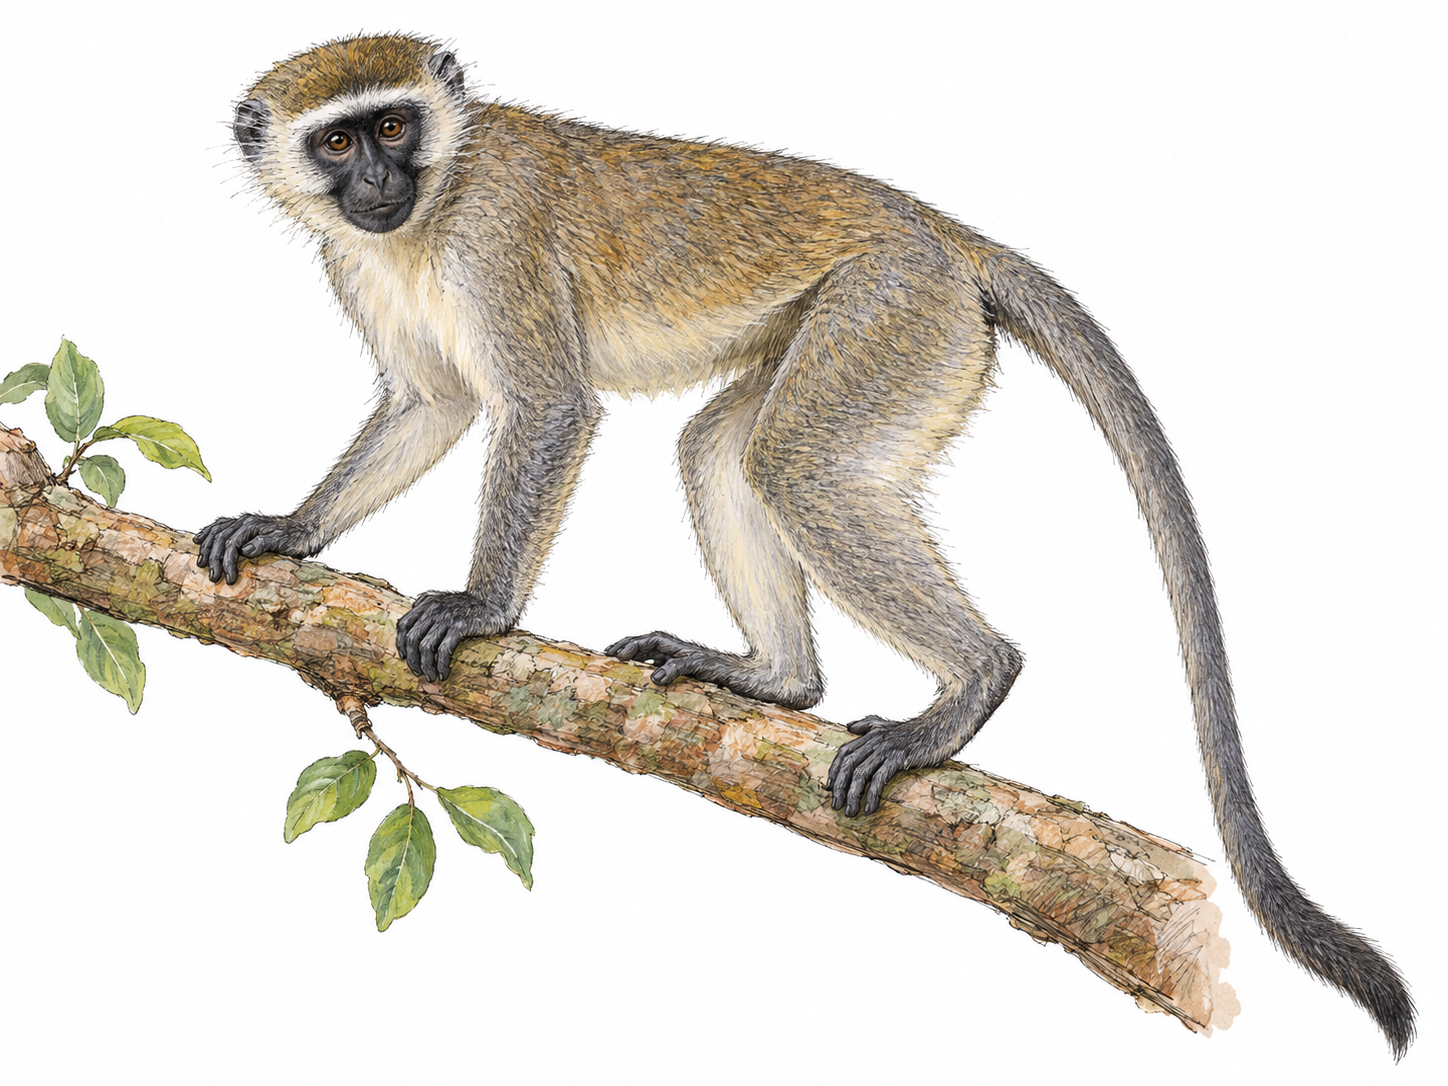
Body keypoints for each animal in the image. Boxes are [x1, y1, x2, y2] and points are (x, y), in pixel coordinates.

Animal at [195, 34, 1412, 1054]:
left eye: (395, 126)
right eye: (338, 141)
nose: (376, 186)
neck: (434, 210)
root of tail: (937, 231)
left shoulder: (498, 236)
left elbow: (544, 410)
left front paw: (482, 606)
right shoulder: (355, 265)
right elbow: (432, 405)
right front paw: (291, 527)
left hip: (895, 312)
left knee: (797, 466)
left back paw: (966, 689)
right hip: (904, 329)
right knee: (723, 454)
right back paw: (777, 679)